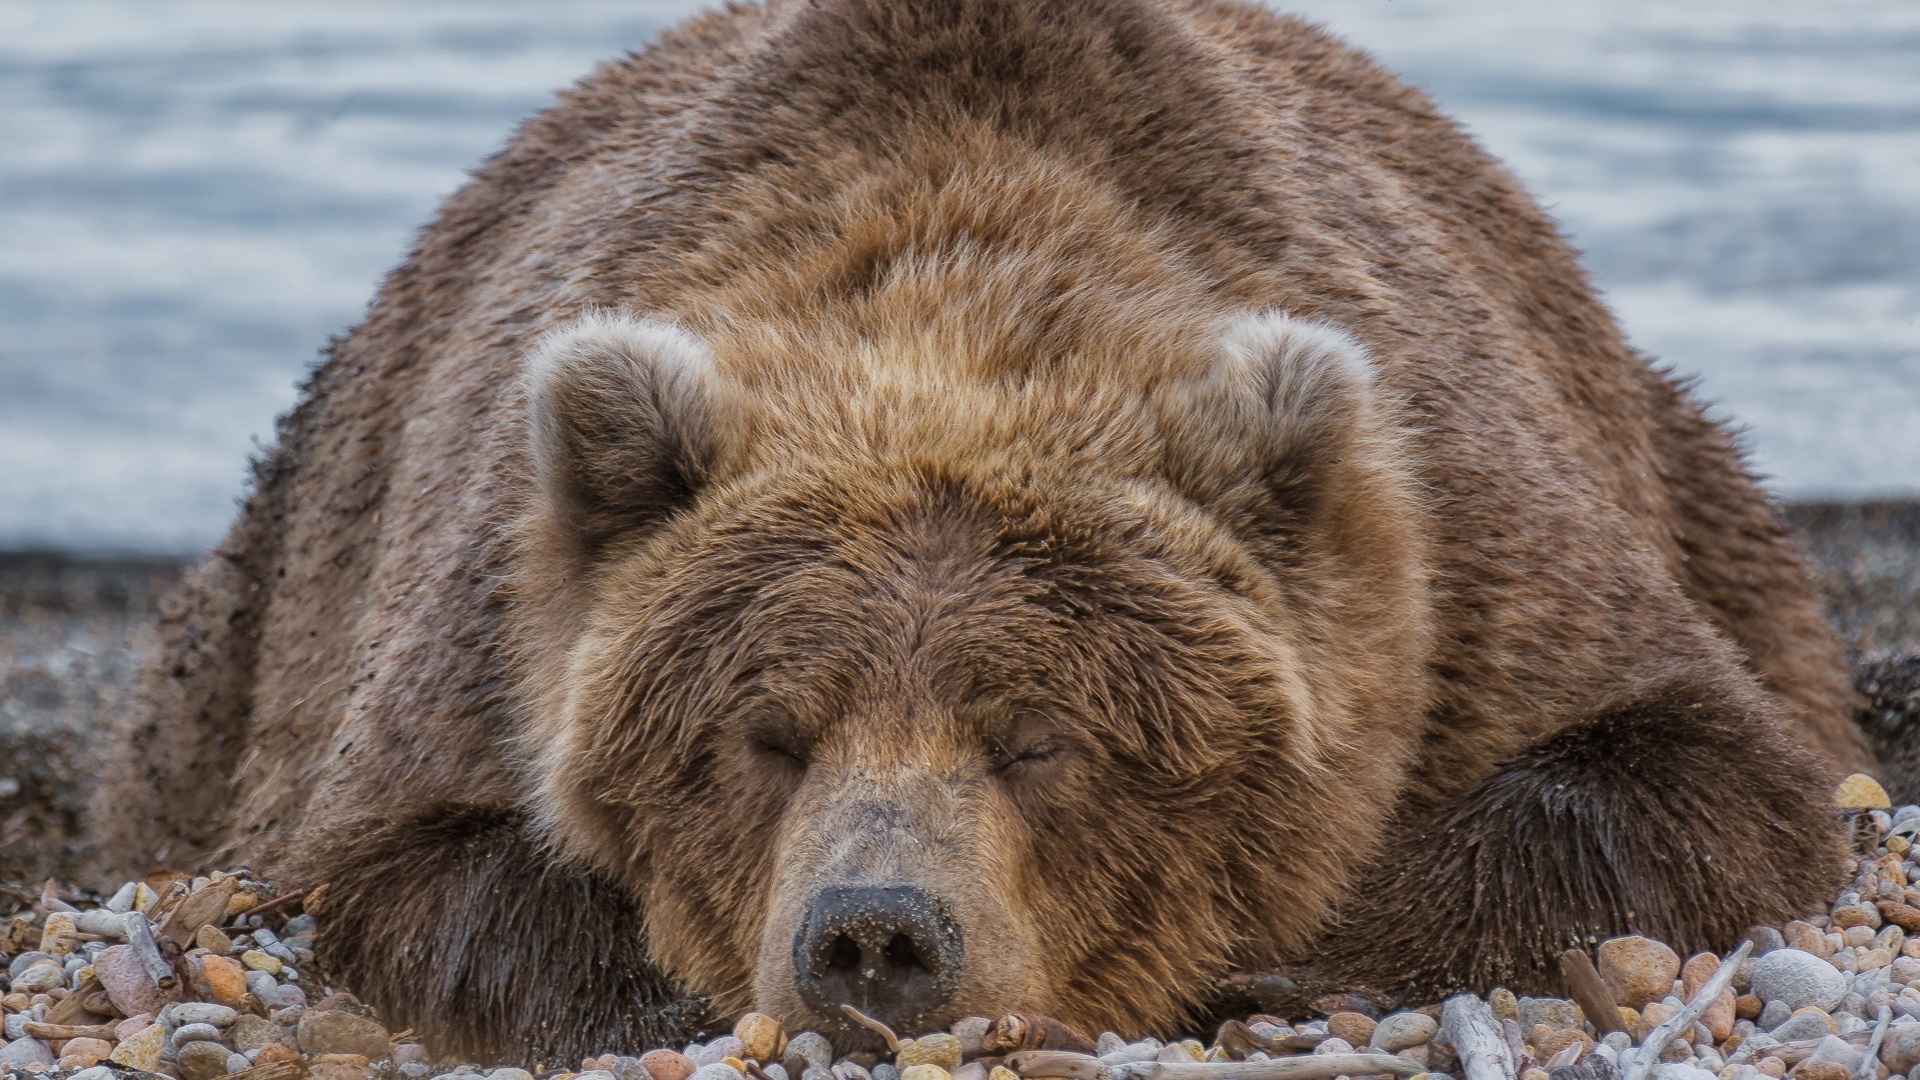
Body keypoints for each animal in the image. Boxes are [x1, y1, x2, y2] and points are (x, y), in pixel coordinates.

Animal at [93, 0, 1873, 1060]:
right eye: (765, 734)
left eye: (1041, 735)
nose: (876, 936)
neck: (961, 271)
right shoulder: (463, 633)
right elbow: (406, 866)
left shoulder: (1478, 536)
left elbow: (1683, 767)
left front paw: (1283, 949)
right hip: (246, 627)